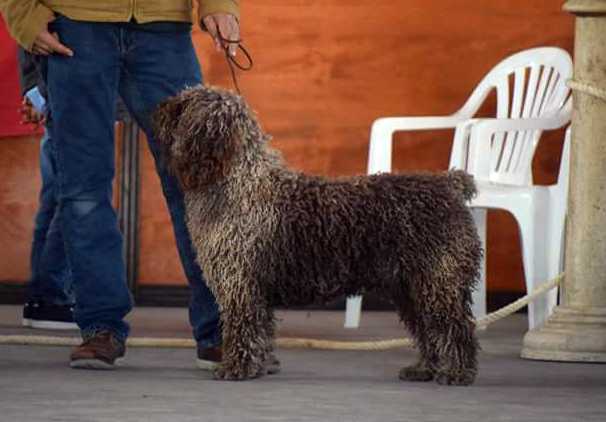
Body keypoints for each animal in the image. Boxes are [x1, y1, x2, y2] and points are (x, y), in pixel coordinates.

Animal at [153, 85, 484, 386]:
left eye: (184, 104)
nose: (159, 108)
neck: (239, 183)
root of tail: (449, 184)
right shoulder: (256, 291)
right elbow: (260, 332)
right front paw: (258, 366)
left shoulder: (241, 287)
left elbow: (242, 330)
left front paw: (237, 368)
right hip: (410, 288)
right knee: (429, 331)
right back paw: (424, 369)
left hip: (438, 283)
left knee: (456, 328)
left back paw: (457, 372)